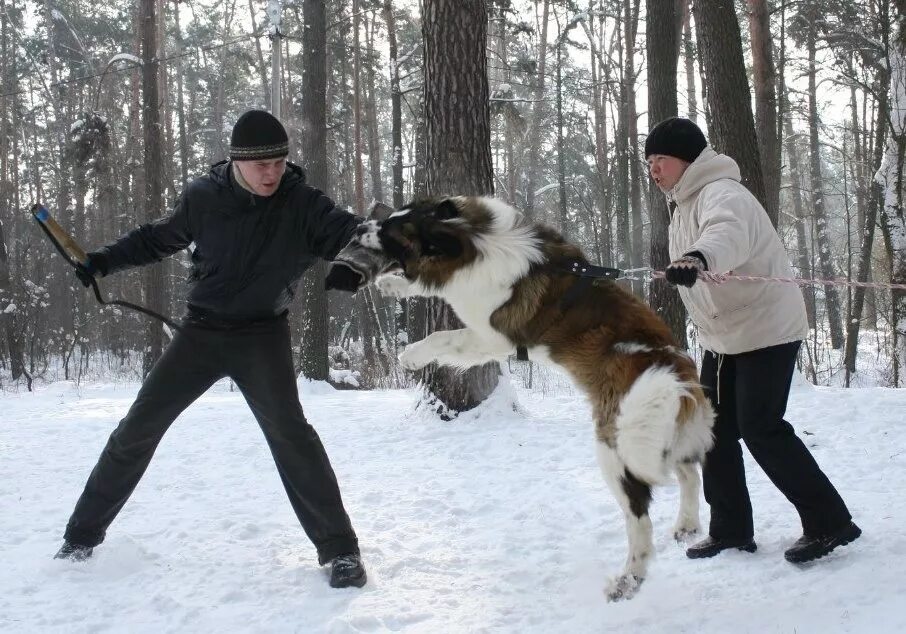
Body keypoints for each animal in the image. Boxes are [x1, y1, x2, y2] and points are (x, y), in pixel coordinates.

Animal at [332, 196, 712, 596]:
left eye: (394, 232)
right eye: (394, 214)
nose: (360, 227)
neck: (475, 242)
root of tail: (674, 374)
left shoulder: (492, 337)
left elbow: (443, 337)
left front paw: (412, 355)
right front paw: (393, 286)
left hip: (619, 447)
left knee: (640, 518)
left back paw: (629, 579)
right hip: (663, 436)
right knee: (689, 471)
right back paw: (686, 524)